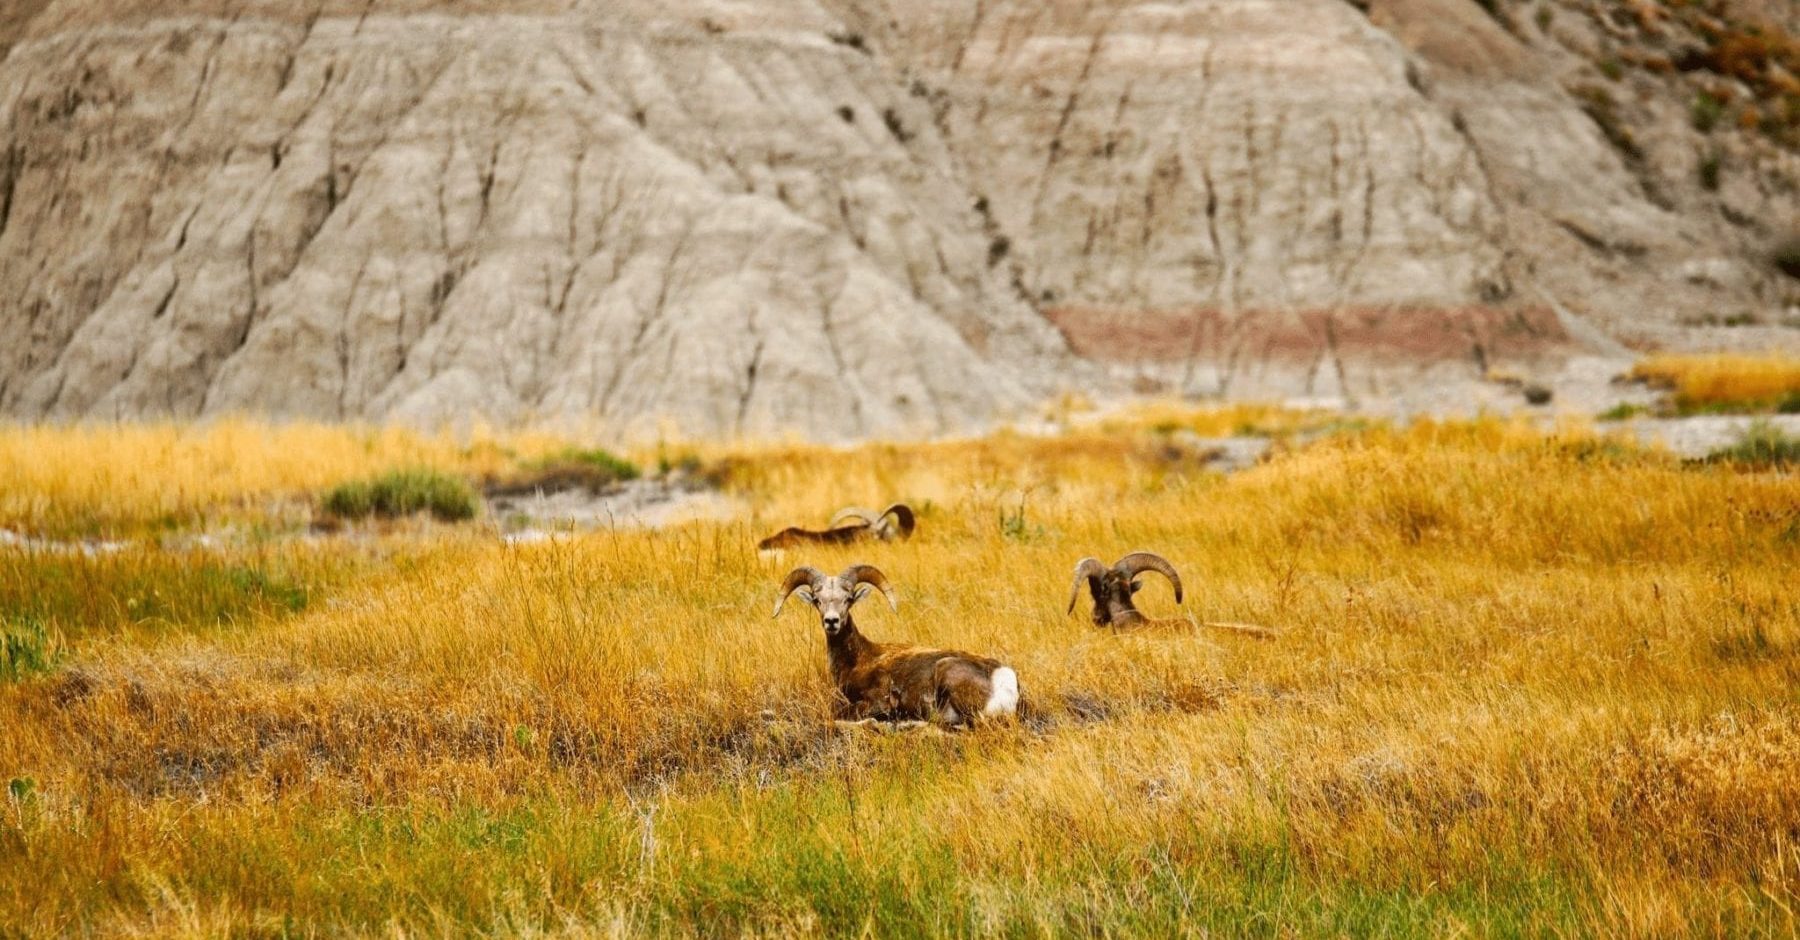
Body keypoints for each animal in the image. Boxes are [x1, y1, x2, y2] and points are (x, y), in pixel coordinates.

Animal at [774, 561, 1022, 723]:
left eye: (848, 599)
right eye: (817, 600)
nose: (832, 621)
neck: (859, 659)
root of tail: (1004, 680)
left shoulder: (876, 702)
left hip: (946, 673)